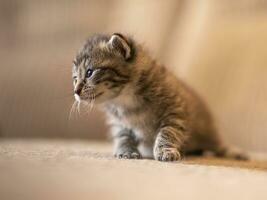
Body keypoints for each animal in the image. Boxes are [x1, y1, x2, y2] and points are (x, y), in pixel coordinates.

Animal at [72, 32, 248, 161]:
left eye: (89, 73)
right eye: (75, 78)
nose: (76, 91)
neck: (124, 99)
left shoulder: (176, 112)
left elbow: (168, 132)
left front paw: (165, 151)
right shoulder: (119, 123)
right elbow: (122, 136)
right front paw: (126, 150)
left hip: (207, 130)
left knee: (217, 144)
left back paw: (234, 152)